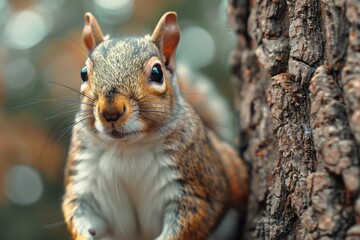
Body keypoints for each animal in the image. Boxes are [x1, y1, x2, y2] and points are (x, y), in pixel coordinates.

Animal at [62, 11, 248, 240]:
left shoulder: (199, 189)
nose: (110, 111)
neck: (128, 149)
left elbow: (195, 215)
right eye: (83, 73)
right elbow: (76, 210)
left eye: (157, 73)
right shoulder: (84, 180)